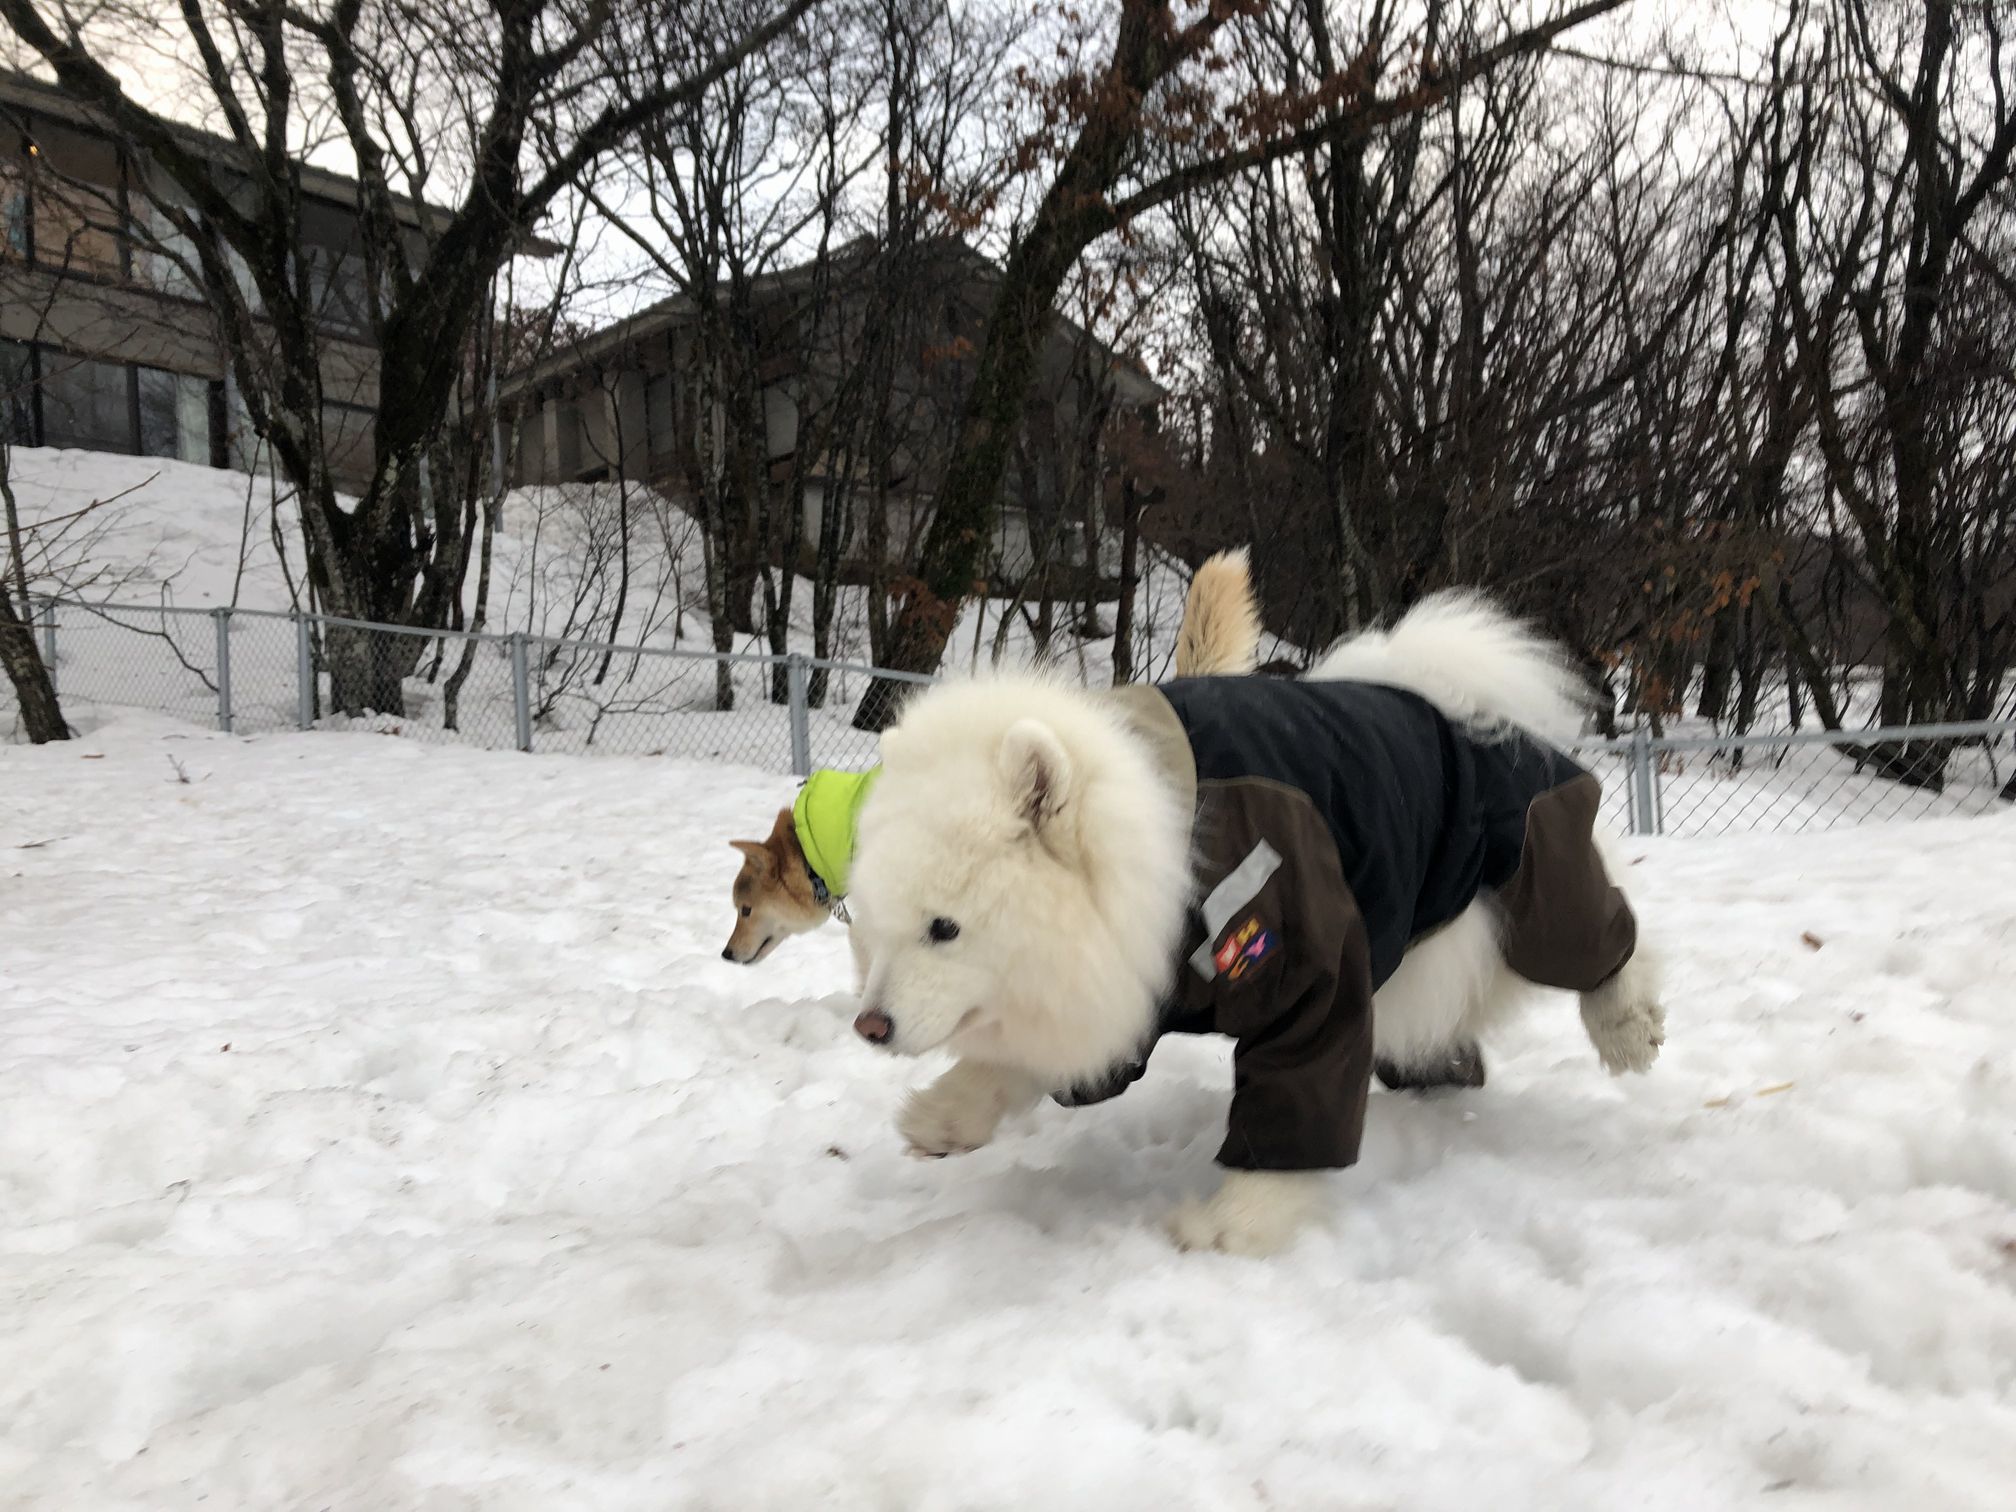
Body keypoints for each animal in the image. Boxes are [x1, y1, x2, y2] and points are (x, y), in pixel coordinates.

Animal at [842, 576, 1661, 1257]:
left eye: (944, 927)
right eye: (871, 927)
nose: (870, 1027)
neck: (1172, 845)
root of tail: (1445, 696)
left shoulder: (1307, 969)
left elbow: (1292, 1108)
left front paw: (1234, 1225)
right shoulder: (1120, 985)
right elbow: (1025, 1060)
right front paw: (944, 1117)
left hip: (1527, 875)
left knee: (1607, 937)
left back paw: (1627, 1027)